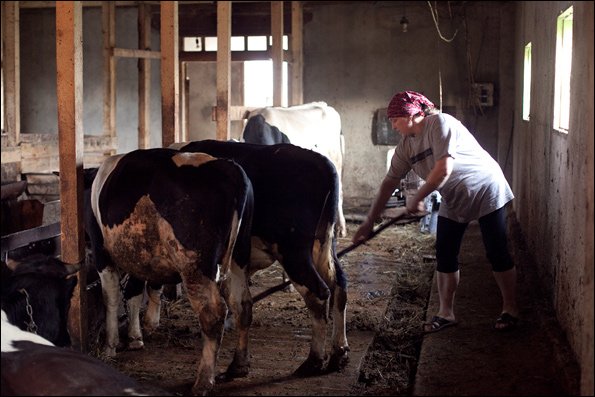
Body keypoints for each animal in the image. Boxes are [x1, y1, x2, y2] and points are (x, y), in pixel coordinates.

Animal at [84, 148, 254, 392]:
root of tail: (231, 168)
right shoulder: (138, 256)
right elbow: (134, 293)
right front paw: (136, 336)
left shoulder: (101, 251)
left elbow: (112, 297)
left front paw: (110, 345)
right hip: (238, 257)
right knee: (243, 306)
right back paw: (238, 366)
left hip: (194, 265)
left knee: (213, 313)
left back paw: (203, 381)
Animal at [170, 141, 352, 376]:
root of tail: (323, 163)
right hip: (324, 245)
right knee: (339, 284)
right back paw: (339, 353)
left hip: (293, 250)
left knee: (318, 292)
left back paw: (313, 360)